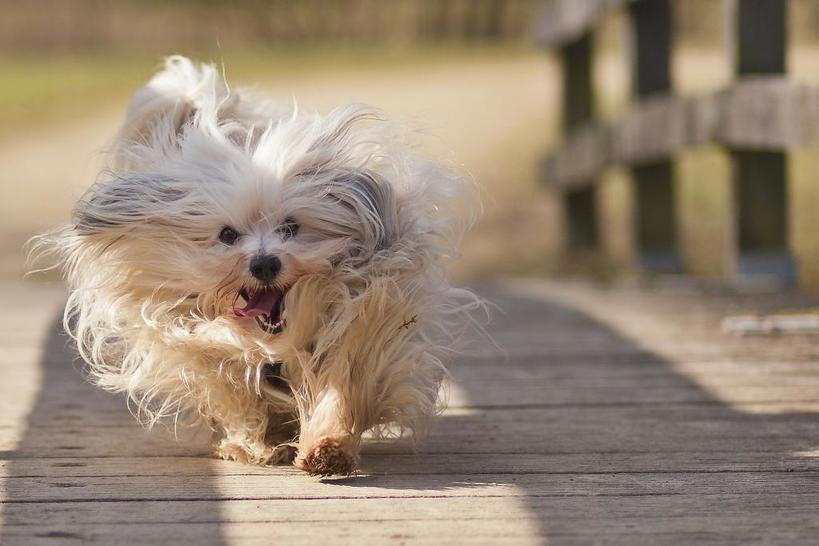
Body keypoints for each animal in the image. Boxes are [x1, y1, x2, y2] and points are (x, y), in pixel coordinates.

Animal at [35, 55, 484, 472]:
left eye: (290, 227)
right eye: (227, 235)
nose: (265, 263)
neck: (274, 340)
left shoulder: (360, 322)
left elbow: (339, 386)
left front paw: (327, 445)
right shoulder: (201, 348)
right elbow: (234, 394)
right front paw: (249, 444)